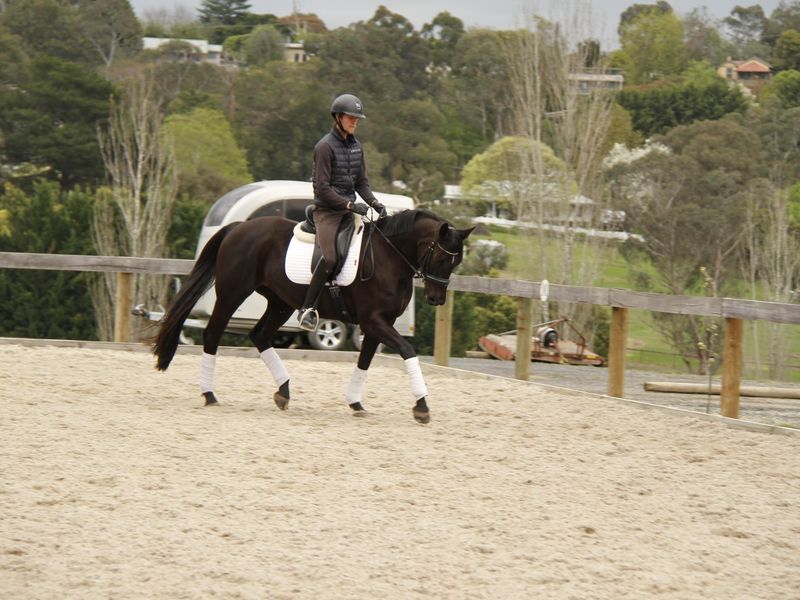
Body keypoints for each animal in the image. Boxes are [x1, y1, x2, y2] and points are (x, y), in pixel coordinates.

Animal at [152, 209, 473, 423]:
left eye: (457, 262)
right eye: (442, 258)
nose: (436, 299)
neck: (388, 257)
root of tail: (239, 228)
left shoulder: (379, 324)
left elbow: (365, 360)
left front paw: (356, 403)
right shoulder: (374, 321)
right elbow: (407, 350)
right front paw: (422, 406)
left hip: (279, 302)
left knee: (260, 335)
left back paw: (283, 392)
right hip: (233, 293)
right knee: (213, 333)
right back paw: (210, 394)